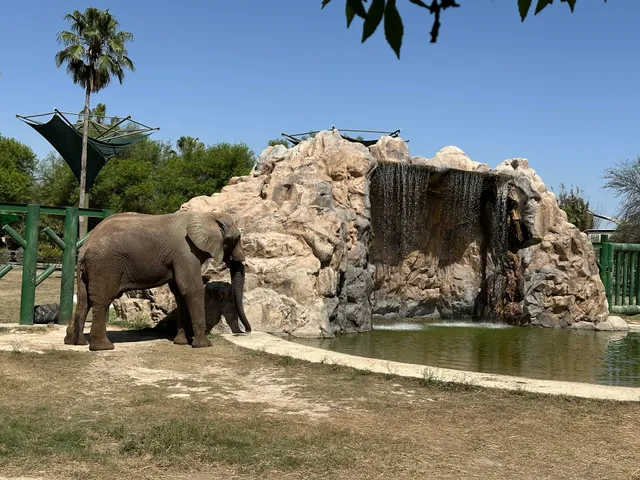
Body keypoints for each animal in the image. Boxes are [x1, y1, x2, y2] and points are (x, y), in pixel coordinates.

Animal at [64, 211, 251, 351]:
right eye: (237, 238)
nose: (245, 331)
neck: (207, 215)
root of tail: (85, 246)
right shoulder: (185, 252)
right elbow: (192, 289)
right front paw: (204, 345)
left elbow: (179, 293)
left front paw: (181, 343)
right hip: (105, 266)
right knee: (101, 301)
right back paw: (103, 347)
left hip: (89, 270)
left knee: (84, 301)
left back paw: (77, 343)